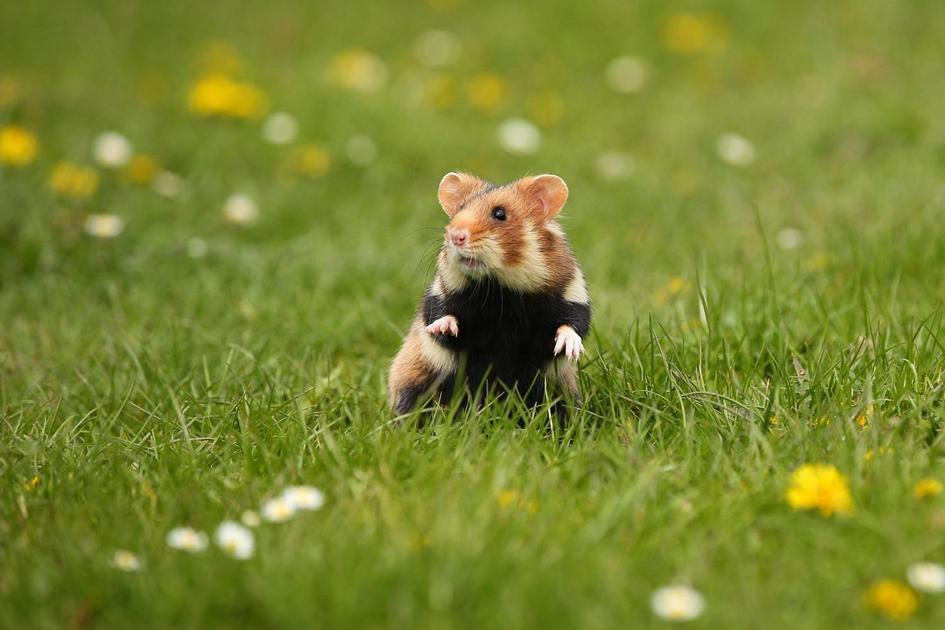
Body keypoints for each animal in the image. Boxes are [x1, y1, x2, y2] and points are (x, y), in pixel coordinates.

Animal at [388, 172, 591, 415]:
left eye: (499, 214)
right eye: (459, 210)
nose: (456, 236)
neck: (500, 289)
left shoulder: (572, 293)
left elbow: (574, 324)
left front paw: (571, 348)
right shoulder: (441, 293)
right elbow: (438, 314)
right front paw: (444, 327)